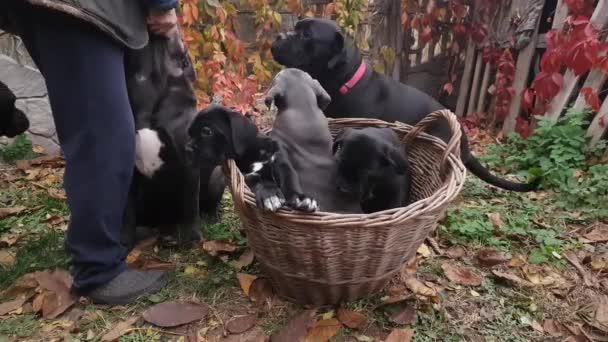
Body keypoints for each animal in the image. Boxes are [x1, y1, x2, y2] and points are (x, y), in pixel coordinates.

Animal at [121, 28, 223, 248]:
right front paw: (124, 240)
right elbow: (127, 210)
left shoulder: (188, 163)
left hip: (217, 174)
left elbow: (190, 206)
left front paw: (191, 237)